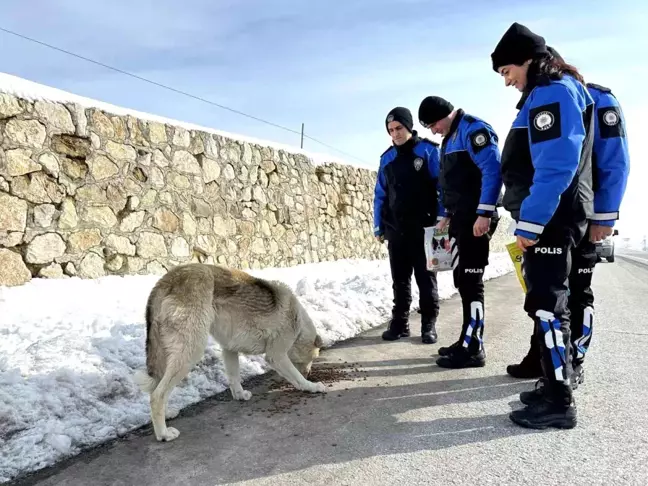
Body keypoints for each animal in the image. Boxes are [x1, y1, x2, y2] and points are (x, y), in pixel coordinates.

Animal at [133, 264, 324, 442]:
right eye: (312, 358)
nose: (309, 373)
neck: (298, 324)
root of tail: (167, 279)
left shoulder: (229, 349)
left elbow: (234, 378)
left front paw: (240, 396)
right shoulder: (276, 356)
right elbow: (296, 378)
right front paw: (311, 386)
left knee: (156, 389)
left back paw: (167, 415)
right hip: (190, 352)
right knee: (157, 396)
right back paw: (163, 434)